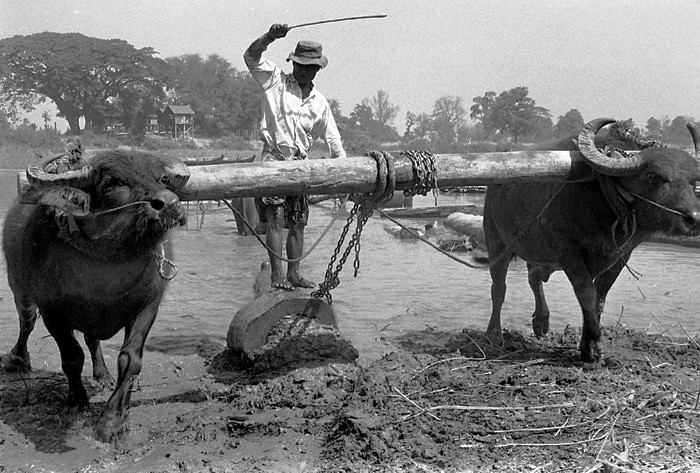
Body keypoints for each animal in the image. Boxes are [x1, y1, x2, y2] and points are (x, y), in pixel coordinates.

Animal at [1, 149, 190, 440]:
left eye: (163, 178)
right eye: (111, 183)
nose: (169, 204)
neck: (109, 263)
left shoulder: (148, 305)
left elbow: (130, 360)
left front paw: (114, 420)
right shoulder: (52, 311)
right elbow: (72, 357)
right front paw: (77, 402)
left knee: (92, 340)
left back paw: (102, 374)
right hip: (19, 289)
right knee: (27, 323)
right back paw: (17, 358)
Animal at [484, 118, 700, 362]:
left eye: (694, 181)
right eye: (653, 176)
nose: (694, 218)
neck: (605, 207)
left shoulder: (621, 255)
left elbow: (600, 298)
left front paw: (586, 342)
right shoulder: (569, 253)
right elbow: (587, 294)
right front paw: (593, 347)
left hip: (538, 251)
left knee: (534, 277)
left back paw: (541, 321)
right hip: (496, 242)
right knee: (499, 288)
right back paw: (494, 333)